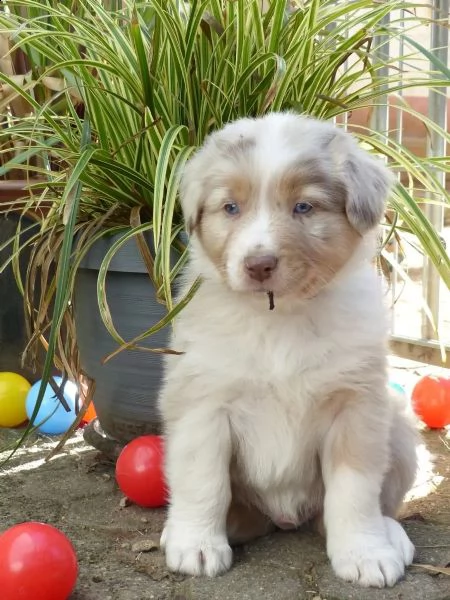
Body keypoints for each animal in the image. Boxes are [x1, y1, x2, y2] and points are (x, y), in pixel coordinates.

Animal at [159, 111, 418, 584]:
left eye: (304, 207)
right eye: (231, 208)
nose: (258, 264)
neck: (278, 318)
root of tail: (281, 519)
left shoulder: (356, 406)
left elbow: (354, 490)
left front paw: (365, 553)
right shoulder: (203, 403)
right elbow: (203, 480)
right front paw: (197, 545)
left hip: (399, 429)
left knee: (373, 504)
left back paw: (390, 534)